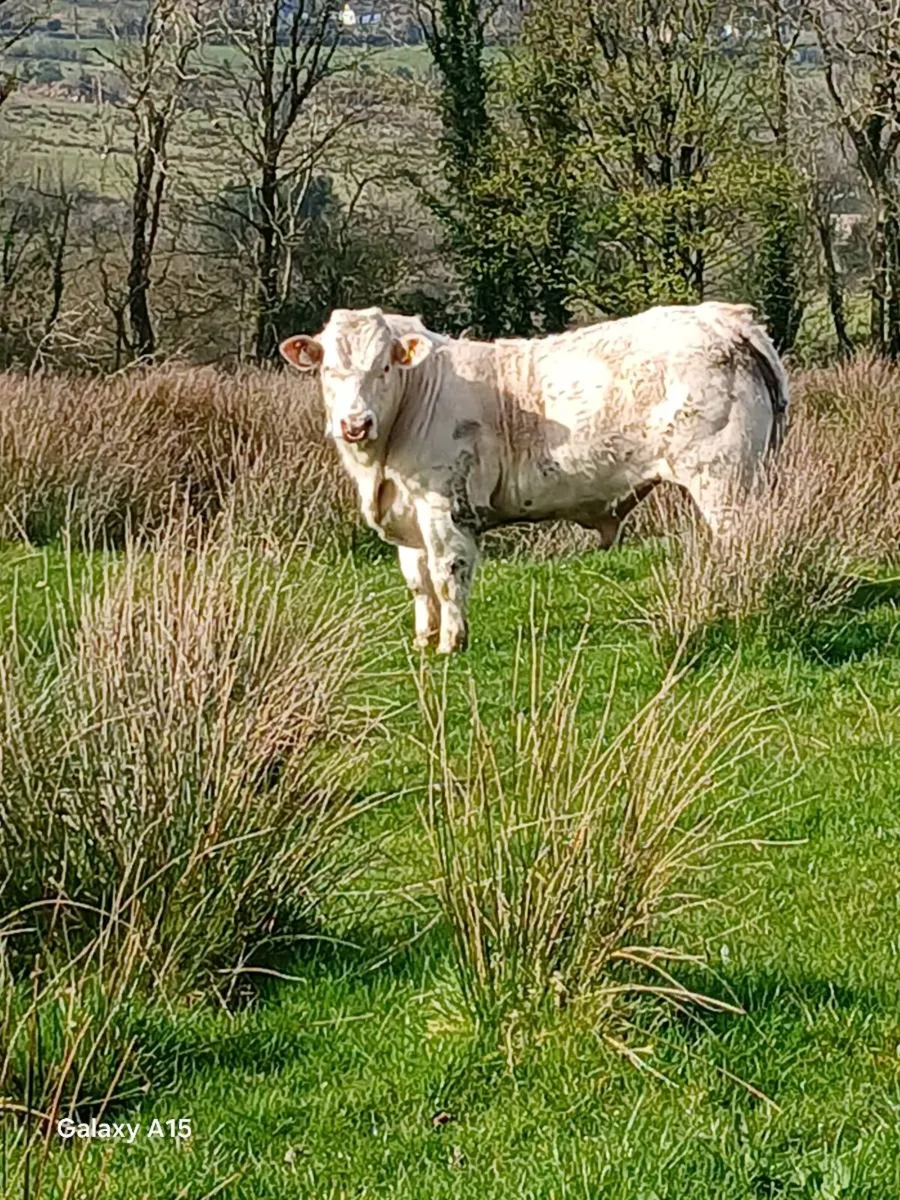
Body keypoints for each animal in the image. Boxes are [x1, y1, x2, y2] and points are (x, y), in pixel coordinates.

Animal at [280, 303, 788, 654]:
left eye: (383, 367)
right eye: (328, 370)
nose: (355, 423)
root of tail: (721, 317)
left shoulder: (444, 507)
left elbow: (447, 575)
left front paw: (451, 643)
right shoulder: (408, 514)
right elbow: (418, 581)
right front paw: (424, 641)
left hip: (725, 480)